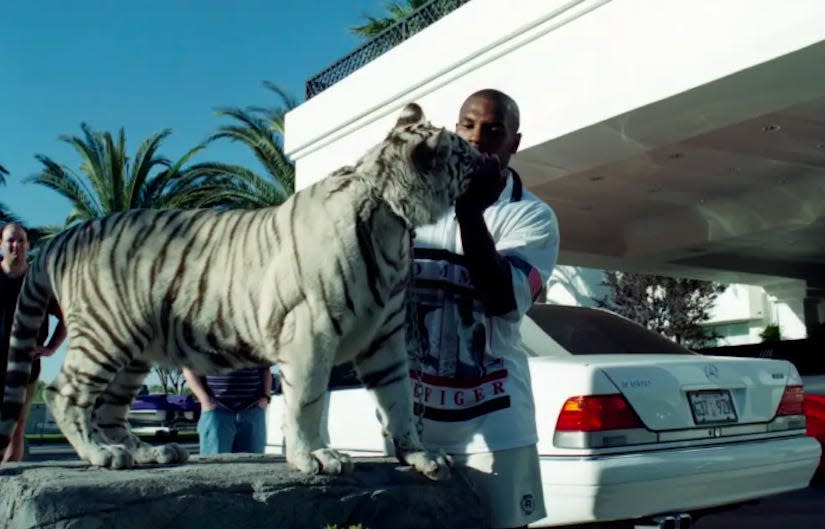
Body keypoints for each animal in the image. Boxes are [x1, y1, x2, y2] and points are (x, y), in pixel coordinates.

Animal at [0, 103, 482, 478]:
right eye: (466, 155)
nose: (489, 160)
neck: (393, 217)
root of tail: (63, 238)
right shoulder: (312, 332)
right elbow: (308, 401)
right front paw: (315, 458)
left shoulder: (383, 339)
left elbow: (399, 399)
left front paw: (421, 456)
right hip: (106, 333)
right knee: (66, 393)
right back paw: (101, 454)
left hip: (133, 351)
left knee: (111, 409)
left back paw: (147, 453)